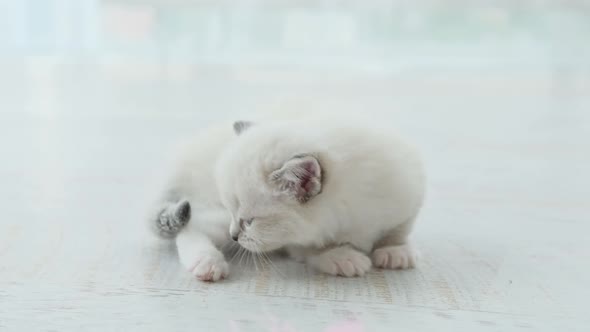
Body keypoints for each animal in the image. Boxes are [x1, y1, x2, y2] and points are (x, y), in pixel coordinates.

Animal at [217, 116, 426, 278]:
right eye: (231, 213)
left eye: (249, 221)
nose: (233, 236)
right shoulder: (300, 237)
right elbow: (312, 247)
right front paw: (340, 256)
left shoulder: (410, 188)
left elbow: (399, 228)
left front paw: (395, 249)